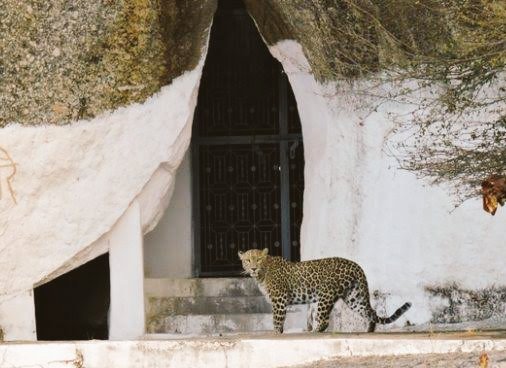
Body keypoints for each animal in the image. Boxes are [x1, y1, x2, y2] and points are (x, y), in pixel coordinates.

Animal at [238, 247, 412, 334]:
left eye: (258, 260)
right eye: (248, 260)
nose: (253, 268)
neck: (262, 274)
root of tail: (356, 265)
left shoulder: (279, 299)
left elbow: (277, 319)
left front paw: (276, 333)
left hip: (326, 294)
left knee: (324, 320)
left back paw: (313, 332)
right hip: (354, 296)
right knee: (371, 312)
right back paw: (369, 330)